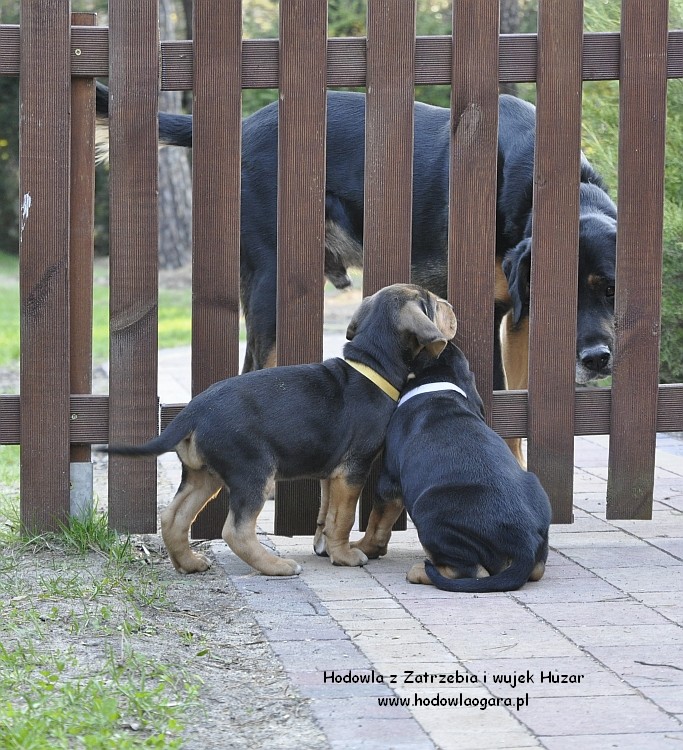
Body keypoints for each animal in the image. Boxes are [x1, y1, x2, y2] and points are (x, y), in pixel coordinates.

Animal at [93, 87, 616, 394]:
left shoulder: (519, 319)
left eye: (610, 288)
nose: (597, 360)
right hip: (271, 285)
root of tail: (242, 127)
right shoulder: (485, 314)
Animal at [104, 284, 456, 580]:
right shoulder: (353, 467)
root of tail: (193, 410)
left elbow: (327, 514)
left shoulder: (331, 473)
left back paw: (189, 563)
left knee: (173, 518)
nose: (451, 305)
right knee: (235, 531)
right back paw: (277, 566)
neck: (372, 366)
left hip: (204, 474)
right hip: (252, 471)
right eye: (433, 302)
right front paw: (345, 556)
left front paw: (326, 547)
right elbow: (342, 519)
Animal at [352, 342, 552, 592]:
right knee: (537, 569)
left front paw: (362, 547)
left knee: (471, 571)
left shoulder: (389, 482)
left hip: (428, 512)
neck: (438, 387)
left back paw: (418, 571)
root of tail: (524, 544)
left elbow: (376, 523)